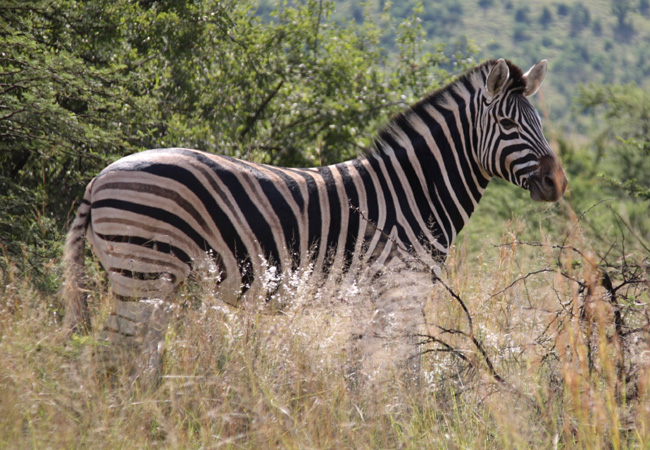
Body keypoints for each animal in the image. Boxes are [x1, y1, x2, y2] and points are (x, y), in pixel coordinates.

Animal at [62, 59, 568, 384]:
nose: (557, 183)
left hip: (152, 280)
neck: (413, 191)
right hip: (142, 272)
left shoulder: (373, 295)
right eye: (507, 125)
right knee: (115, 354)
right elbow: (404, 365)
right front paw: (402, 419)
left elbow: (362, 366)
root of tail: (99, 178)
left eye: (541, 122)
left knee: (136, 353)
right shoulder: (399, 287)